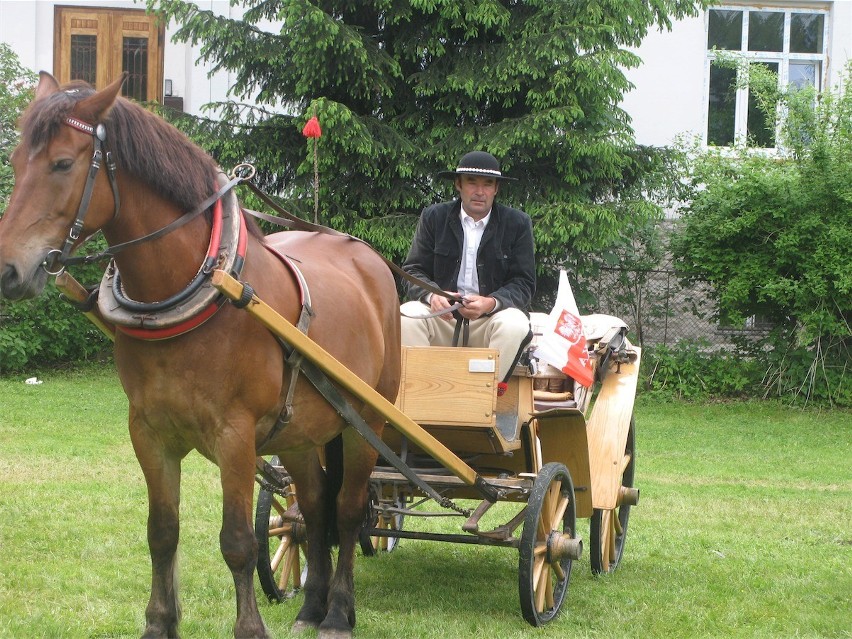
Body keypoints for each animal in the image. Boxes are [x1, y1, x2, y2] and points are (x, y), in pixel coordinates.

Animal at [1, 72, 402, 636]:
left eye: (62, 163)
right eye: (16, 163)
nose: (7, 269)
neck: (200, 285)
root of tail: (368, 258)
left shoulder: (234, 435)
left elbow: (237, 542)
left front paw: (249, 628)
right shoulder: (149, 431)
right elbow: (161, 532)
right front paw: (159, 622)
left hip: (367, 421)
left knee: (346, 509)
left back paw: (339, 611)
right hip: (301, 432)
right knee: (314, 507)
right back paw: (310, 606)